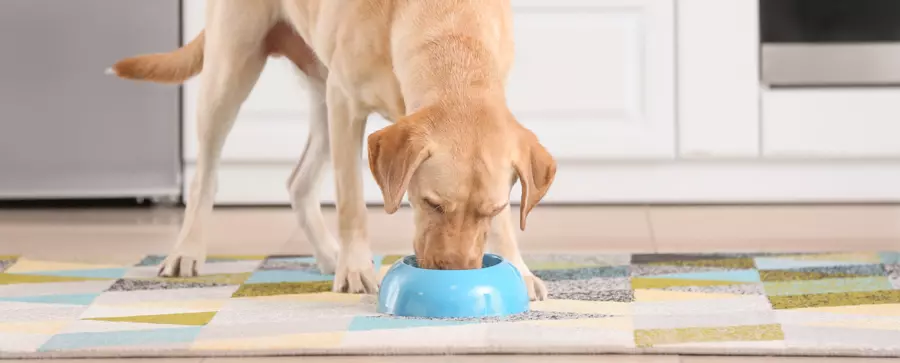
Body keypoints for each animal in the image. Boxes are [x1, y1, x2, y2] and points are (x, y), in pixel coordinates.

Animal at [107, 0, 556, 302]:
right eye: (431, 204)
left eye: (491, 210)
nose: (456, 272)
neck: (451, 37)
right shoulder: (345, 103)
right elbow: (351, 202)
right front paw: (355, 269)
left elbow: (505, 224)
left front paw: (517, 268)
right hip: (232, 70)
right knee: (205, 175)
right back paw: (186, 252)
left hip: (318, 96)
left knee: (298, 183)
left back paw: (327, 255)